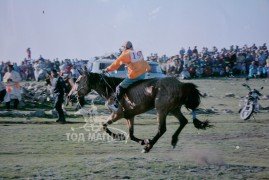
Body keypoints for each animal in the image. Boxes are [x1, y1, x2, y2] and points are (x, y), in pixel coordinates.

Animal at [72, 70, 210, 152]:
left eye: (77, 81)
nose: (70, 96)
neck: (111, 90)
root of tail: (181, 84)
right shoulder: (130, 117)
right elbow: (131, 134)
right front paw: (142, 141)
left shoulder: (117, 114)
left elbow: (104, 125)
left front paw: (120, 136)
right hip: (174, 109)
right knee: (183, 121)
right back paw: (173, 140)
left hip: (161, 110)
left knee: (162, 129)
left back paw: (149, 147)